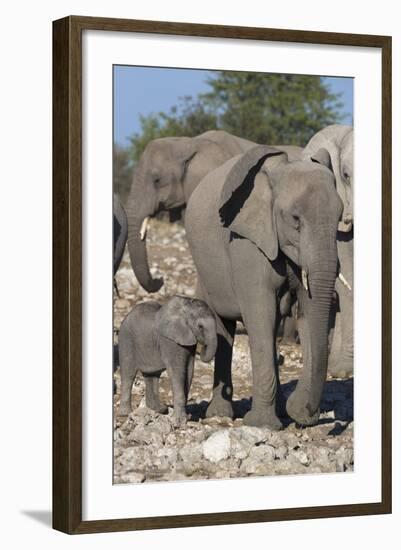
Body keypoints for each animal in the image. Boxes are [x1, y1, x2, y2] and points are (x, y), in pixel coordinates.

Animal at [118, 298, 217, 426]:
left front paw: (186, 417)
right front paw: (180, 421)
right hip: (126, 340)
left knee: (152, 375)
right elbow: (177, 371)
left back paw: (159, 410)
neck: (186, 306)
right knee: (128, 374)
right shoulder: (169, 340)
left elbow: (189, 370)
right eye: (200, 327)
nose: (203, 348)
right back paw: (126, 414)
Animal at [184, 144, 340, 430]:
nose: (305, 413)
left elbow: (306, 311)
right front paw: (261, 425)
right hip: (206, 270)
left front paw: (290, 414)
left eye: (340, 218)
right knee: (224, 326)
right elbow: (260, 312)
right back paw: (220, 414)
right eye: (295, 219)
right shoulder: (246, 240)